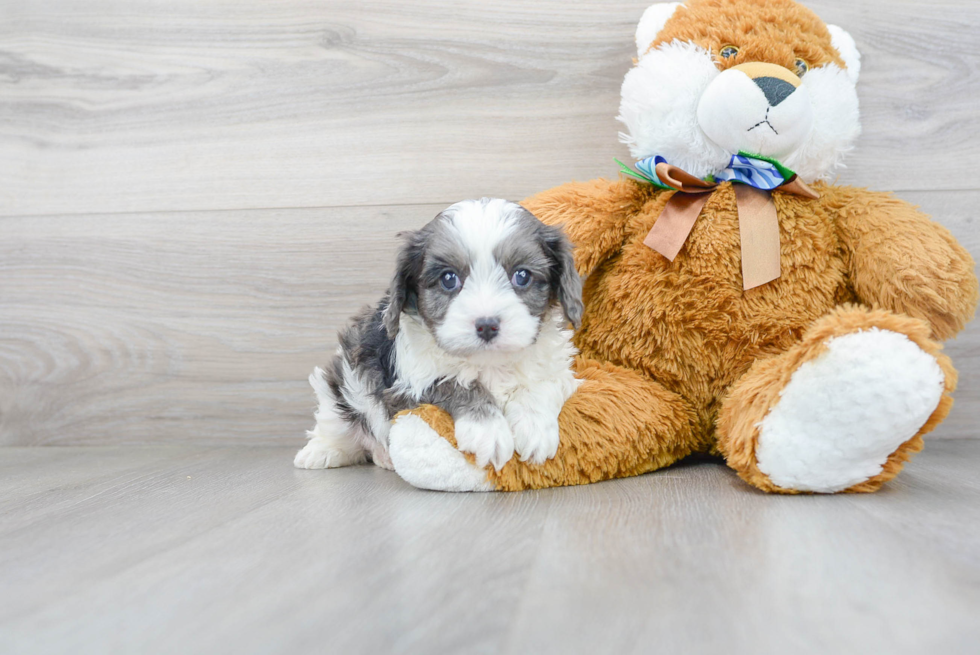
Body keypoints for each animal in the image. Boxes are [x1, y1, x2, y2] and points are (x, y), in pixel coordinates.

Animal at [290, 197, 580, 474]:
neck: (488, 363)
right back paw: (323, 452)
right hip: (341, 379)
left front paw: (535, 427)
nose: (487, 326)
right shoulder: (407, 384)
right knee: (337, 424)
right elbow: (452, 383)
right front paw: (488, 430)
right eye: (448, 279)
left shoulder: (558, 369)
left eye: (522, 276)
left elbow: (543, 384)